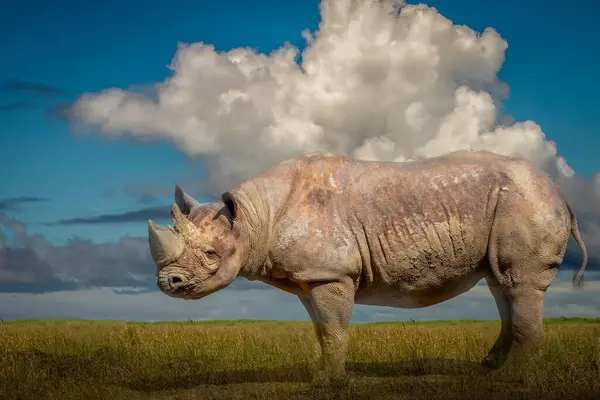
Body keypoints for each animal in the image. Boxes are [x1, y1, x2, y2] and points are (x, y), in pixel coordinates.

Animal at [148, 149, 588, 384]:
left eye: (211, 255)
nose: (168, 282)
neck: (257, 217)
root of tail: (562, 194)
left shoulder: (331, 273)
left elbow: (334, 329)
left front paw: (330, 383)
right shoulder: (310, 276)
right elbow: (323, 330)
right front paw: (322, 376)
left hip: (525, 202)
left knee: (519, 283)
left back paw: (510, 378)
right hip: (514, 206)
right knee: (502, 286)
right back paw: (489, 368)